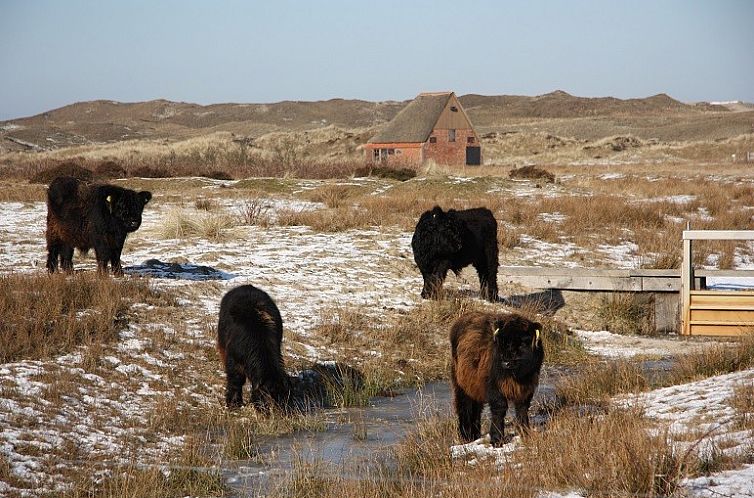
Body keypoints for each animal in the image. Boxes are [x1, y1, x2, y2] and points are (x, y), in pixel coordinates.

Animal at [450, 312, 544, 448]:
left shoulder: (527, 388)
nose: (506, 362)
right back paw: (466, 436)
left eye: (522, 343)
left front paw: (525, 433)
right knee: (465, 407)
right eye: (502, 343)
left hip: (475, 388)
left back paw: (475, 435)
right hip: (461, 385)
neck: (516, 376)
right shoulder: (494, 387)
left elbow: (522, 409)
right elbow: (499, 409)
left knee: (476, 410)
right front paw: (496, 439)